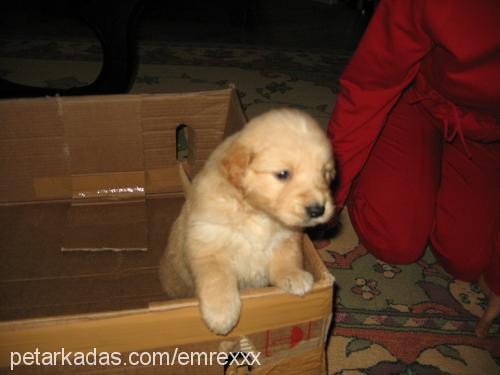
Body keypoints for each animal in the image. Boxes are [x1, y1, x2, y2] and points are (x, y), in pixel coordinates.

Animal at [158, 108, 334, 334]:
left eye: (325, 173)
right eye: (283, 174)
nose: (318, 209)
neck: (258, 214)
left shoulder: (288, 237)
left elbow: (288, 257)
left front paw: (293, 275)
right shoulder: (209, 243)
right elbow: (217, 277)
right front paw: (221, 313)